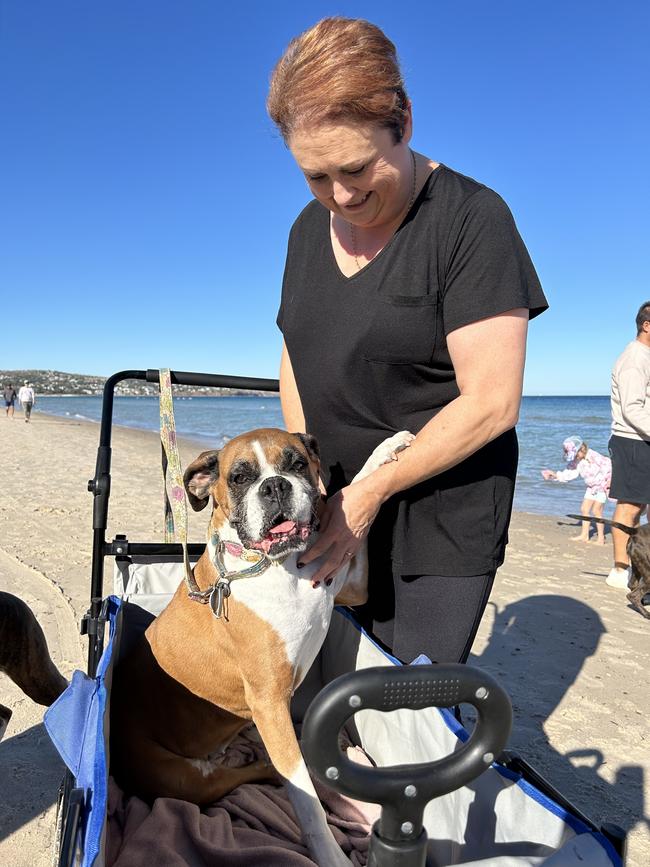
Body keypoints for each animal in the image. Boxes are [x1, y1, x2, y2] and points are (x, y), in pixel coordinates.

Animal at [107, 428, 410, 867]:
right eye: (239, 477)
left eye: (297, 464)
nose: (275, 486)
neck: (272, 566)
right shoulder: (269, 701)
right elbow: (308, 802)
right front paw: (330, 854)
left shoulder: (351, 583)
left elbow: (347, 497)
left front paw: (386, 450)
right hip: (186, 781)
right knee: (259, 775)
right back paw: (267, 765)